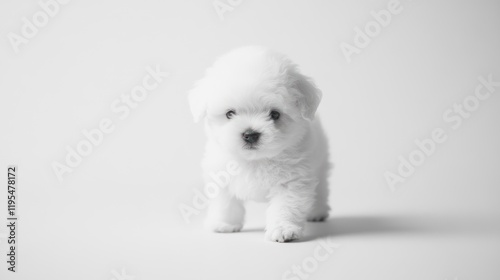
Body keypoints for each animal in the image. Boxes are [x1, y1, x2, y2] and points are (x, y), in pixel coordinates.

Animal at [189, 46, 330, 243]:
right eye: (229, 114)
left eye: (275, 114)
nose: (250, 134)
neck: (256, 160)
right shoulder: (220, 174)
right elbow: (225, 202)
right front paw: (224, 223)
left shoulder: (293, 181)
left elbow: (286, 206)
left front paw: (283, 228)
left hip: (320, 163)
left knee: (321, 188)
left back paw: (317, 212)